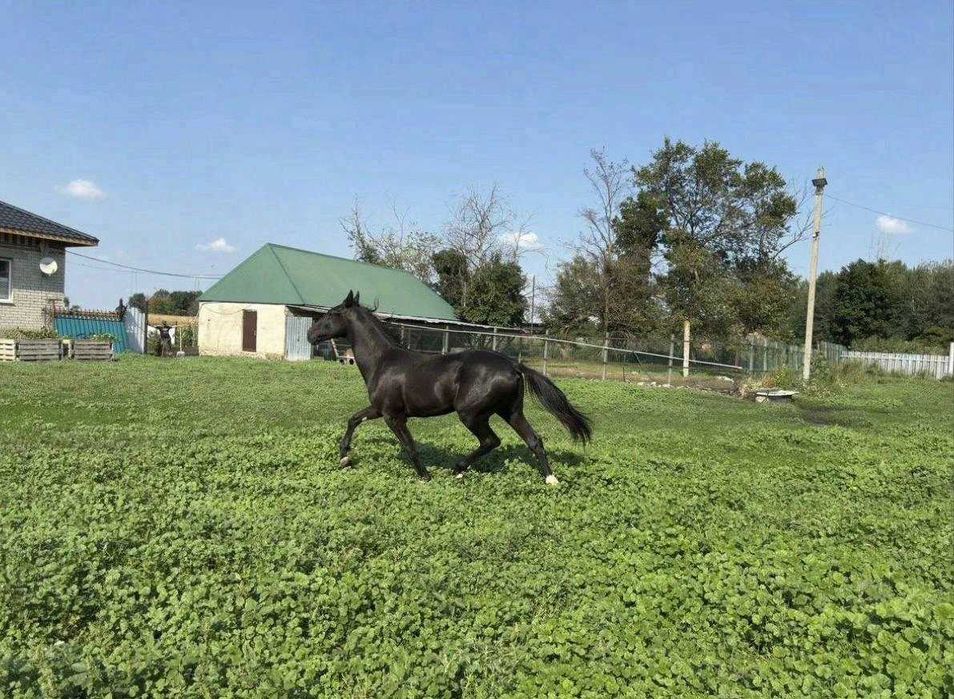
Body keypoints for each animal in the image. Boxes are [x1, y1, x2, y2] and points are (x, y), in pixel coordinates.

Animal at [307, 291, 592, 485]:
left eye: (331, 313)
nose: (310, 335)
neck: (383, 361)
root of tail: (513, 365)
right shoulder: (379, 409)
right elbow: (353, 419)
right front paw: (344, 458)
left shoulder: (393, 416)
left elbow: (409, 446)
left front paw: (425, 477)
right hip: (511, 412)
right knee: (534, 440)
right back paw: (551, 479)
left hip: (471, 414)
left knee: (491, 440)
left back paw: (457, 469)